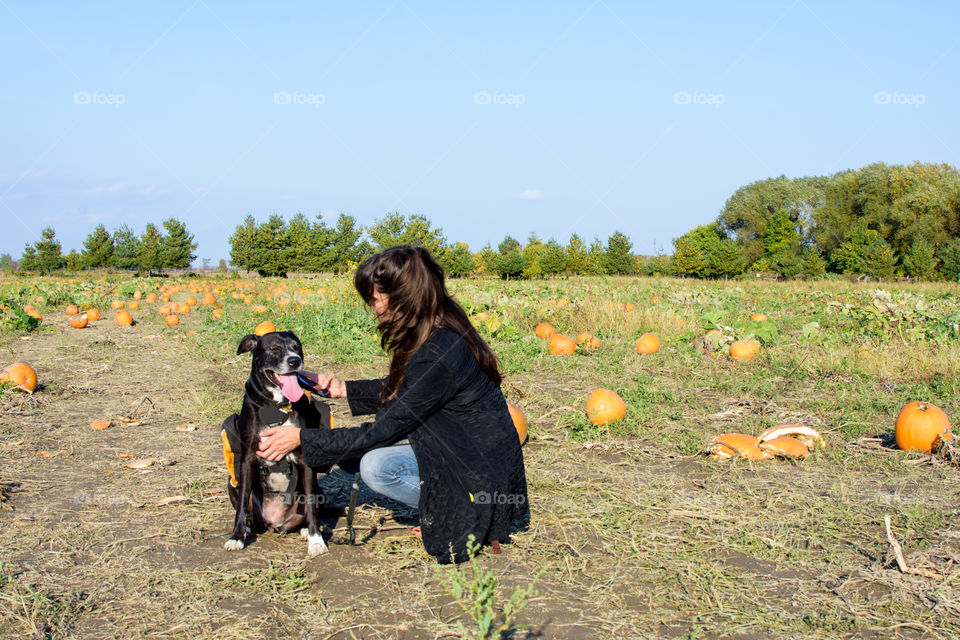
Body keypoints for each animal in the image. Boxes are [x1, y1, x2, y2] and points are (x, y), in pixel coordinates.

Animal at [224, 330, 330, 556]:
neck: (278, 406)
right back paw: (247, 527)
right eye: (274, 349)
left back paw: (306, 529)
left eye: (297, 347)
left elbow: (311, 504)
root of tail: (274, 523)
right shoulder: (248, 459)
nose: (294, 361)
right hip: (231, 481)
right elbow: (242, 503)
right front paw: (236, 536)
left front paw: (316, 540)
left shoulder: (304, 459)